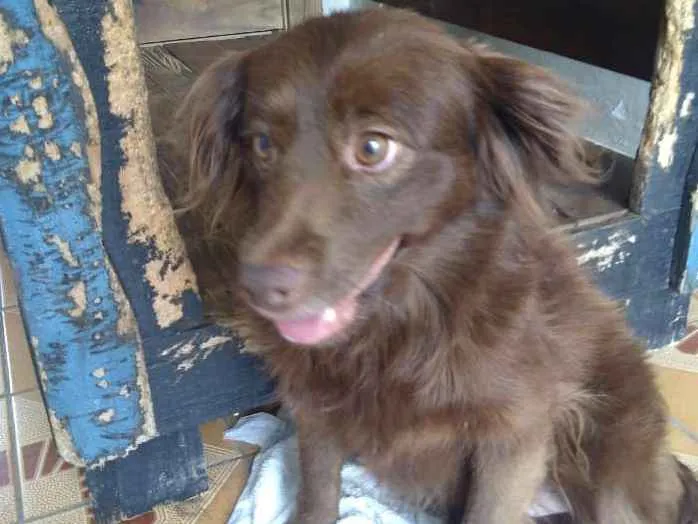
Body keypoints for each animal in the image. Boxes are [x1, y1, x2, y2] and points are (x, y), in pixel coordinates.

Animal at [161, 7, 698, 523]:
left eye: (372, 148)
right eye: (262, 145)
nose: (258, 285)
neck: (399, 328)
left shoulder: (517, 436)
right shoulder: (316, 410)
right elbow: (317, 495)